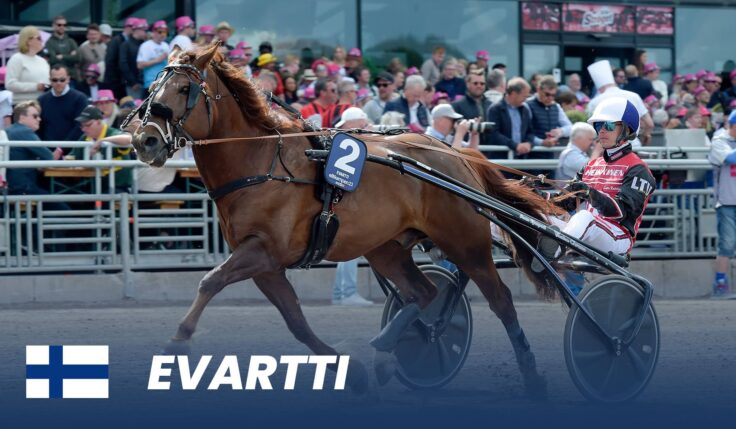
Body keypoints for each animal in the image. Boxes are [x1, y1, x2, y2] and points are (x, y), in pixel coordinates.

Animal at [127, 42, 562, 396]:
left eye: (184, 89)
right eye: (152, 89)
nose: (144, 140)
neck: (261, 162)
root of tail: (453, 153)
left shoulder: (263, 252)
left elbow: (210, 281)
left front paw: (177, 343)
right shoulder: (266, 267)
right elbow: (297, 323)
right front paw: (351, 372)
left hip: (464, 242)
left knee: (501, 300)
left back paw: (533, 376)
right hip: (387, 247)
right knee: (424, 293)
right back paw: (386, 351)